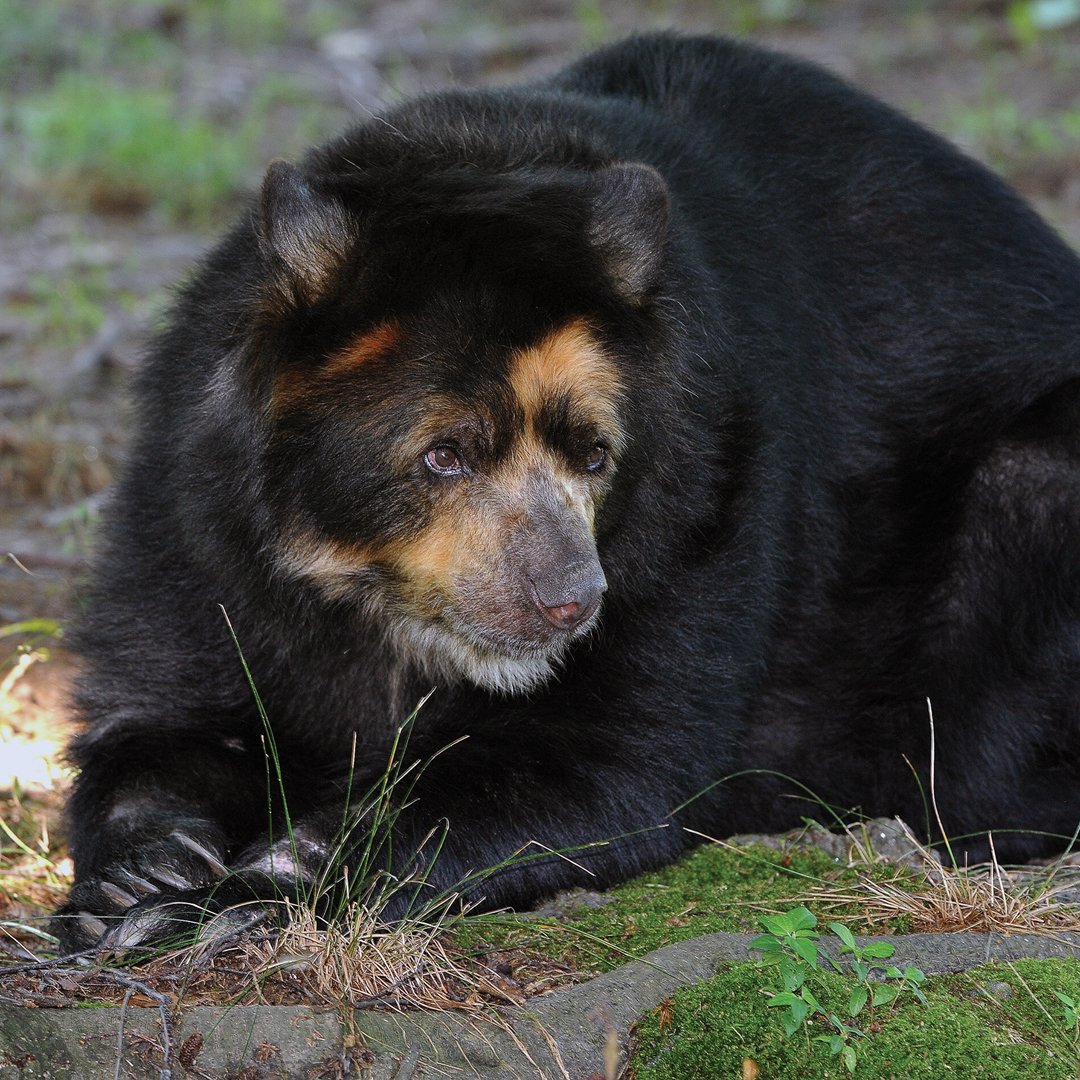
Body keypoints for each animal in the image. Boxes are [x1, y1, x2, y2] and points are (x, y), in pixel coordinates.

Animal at [54, 32, 1080, 953]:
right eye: (445, 456)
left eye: (594, 455)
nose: (569, 604)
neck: (376, 604)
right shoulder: (196, 515)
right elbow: (165, 711)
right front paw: (140, 875)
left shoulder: (711, 496)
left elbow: (600, 761)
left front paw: (249, 894)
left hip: (1030, 502)